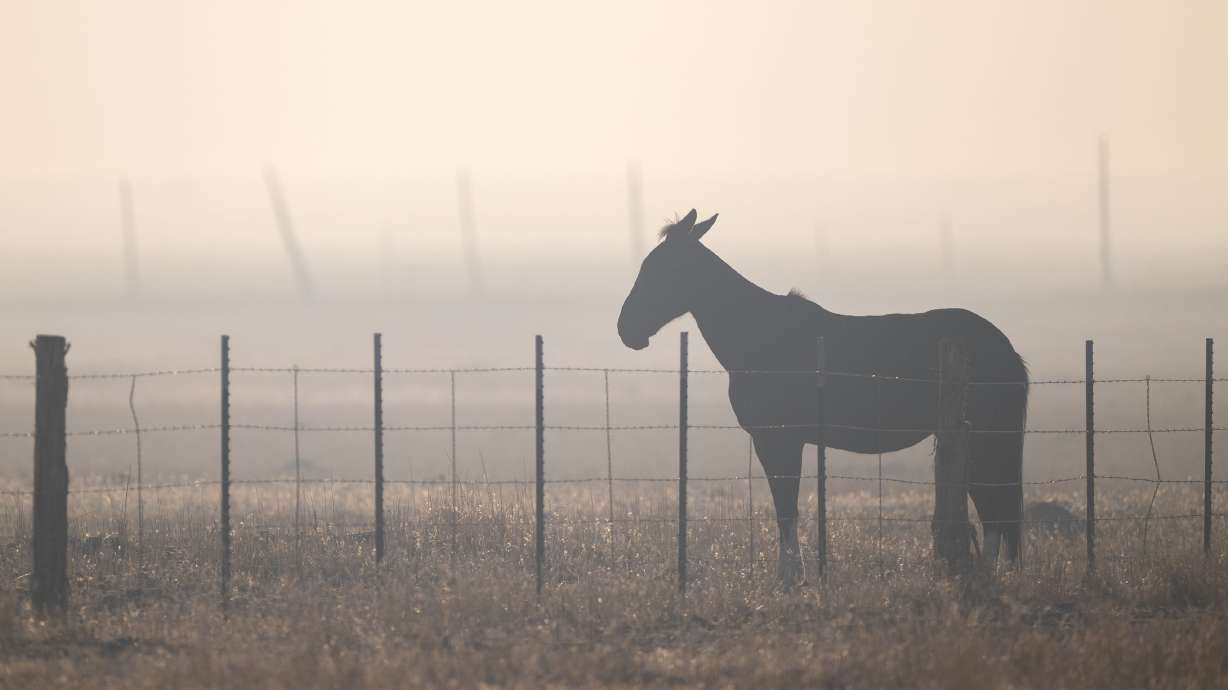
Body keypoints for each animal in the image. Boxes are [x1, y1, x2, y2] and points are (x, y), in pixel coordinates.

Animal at [617, 209, 1029, 586]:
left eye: (660, 268)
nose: (626, 329)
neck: (759, 337)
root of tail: (1005, 347)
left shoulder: (778, 440)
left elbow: (786, 508)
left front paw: (789, 578)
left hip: (985, 440)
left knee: (995, 510)